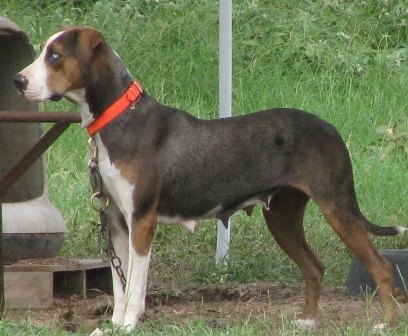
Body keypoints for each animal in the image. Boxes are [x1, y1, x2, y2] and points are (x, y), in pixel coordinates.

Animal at [14, 25, 406, 334]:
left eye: (55, 54)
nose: (18, 81)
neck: (120, 118)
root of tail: (331, 129)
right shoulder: (116, 223)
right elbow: (119, 284)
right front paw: (114, 324)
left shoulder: (142, 222)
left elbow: (136, 284)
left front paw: (128, 324)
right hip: (282, 217)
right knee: (314, 267)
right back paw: (307, 321)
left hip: (336, 208)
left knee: (382, 268)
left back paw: (385, 323)